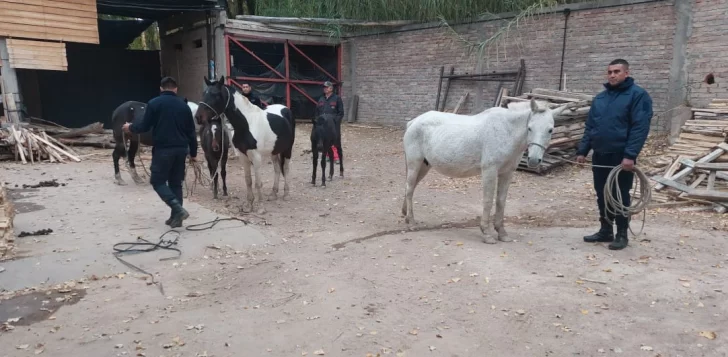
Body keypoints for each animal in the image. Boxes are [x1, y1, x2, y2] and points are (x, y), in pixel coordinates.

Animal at [196, 75, 296, 213]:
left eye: (215, 94)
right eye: (203, 93)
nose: (198, 117)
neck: (246, 124)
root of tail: (286, 109)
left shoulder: (256, 157)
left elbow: (258, 183)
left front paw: (260, 207)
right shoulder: (243, 156)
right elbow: (248, 180)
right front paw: (249, 205)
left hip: (287, 149)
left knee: (285, 169)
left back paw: (286, 194)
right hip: (274, 151)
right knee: (276, 169)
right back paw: (273, 194)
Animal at [400, 97, 572, 242]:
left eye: (550, 130)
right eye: (529, 128)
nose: (534, 160)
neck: (506, 131)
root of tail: (414, 122)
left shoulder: (507, 173)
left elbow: (501, 201)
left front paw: (502, 233)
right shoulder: (490, 171)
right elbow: (488, 200)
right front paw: (487, 233)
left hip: (424, 166)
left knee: (411, 188)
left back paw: (406, 216)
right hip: (415, 163)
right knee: (409, 189)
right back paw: (412, 222)